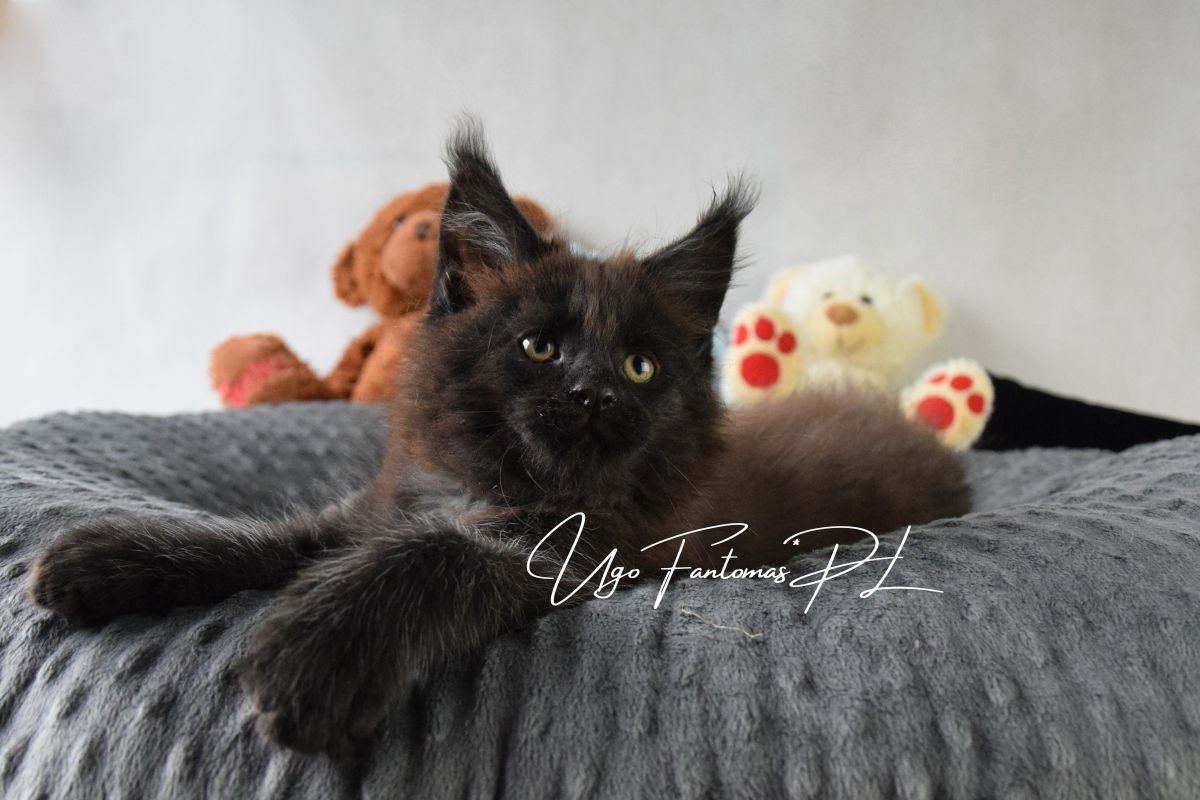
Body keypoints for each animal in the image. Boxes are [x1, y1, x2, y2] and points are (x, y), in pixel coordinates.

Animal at [28, 122, 970, 756]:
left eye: (639, 366)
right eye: (538, 347)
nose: (592, 394)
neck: (494, 485)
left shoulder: (565, 554)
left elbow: (431, 555)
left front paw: (316, 651)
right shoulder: (369, 513)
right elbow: (276, 535)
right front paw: (114, 555)